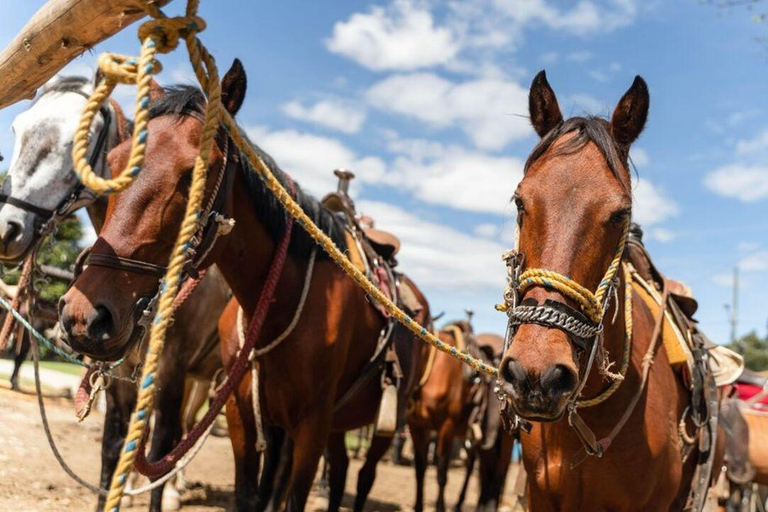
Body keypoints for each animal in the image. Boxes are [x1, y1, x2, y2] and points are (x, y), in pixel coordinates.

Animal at [60, 58, 428, 510]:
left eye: (193, 175)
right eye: (112, 164)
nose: (84, 316)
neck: (279, 305)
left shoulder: (311, 424)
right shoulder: (243, 415)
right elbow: (250, 495)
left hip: (379, 425)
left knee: (362, 478)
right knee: (339, 468)